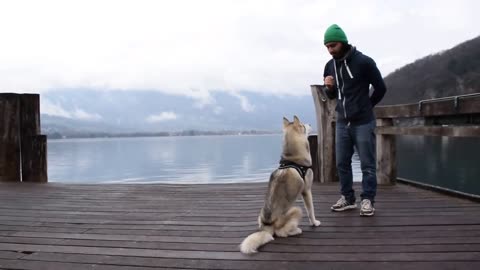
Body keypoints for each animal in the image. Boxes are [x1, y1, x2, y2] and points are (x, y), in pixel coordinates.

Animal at [240, 115, 322, 253]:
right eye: (303, 126)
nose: (310, 124)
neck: (293, 158)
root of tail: (267, 226)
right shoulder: (307, 191)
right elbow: (311, 210)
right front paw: (314, 222)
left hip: (260, 215)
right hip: (296, 209)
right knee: (281, 233)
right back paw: (296, 230)